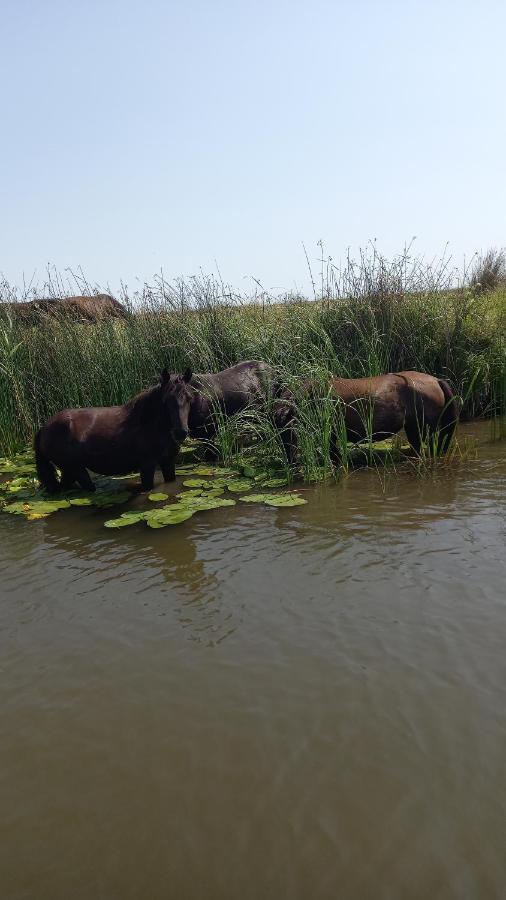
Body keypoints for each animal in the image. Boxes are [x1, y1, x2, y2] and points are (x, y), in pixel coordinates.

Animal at [274, 370, 460, 460]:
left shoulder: (332, 435)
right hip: (413, 428)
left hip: (426, 429)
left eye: (290, 429)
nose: (291, 459)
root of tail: (436, 380)